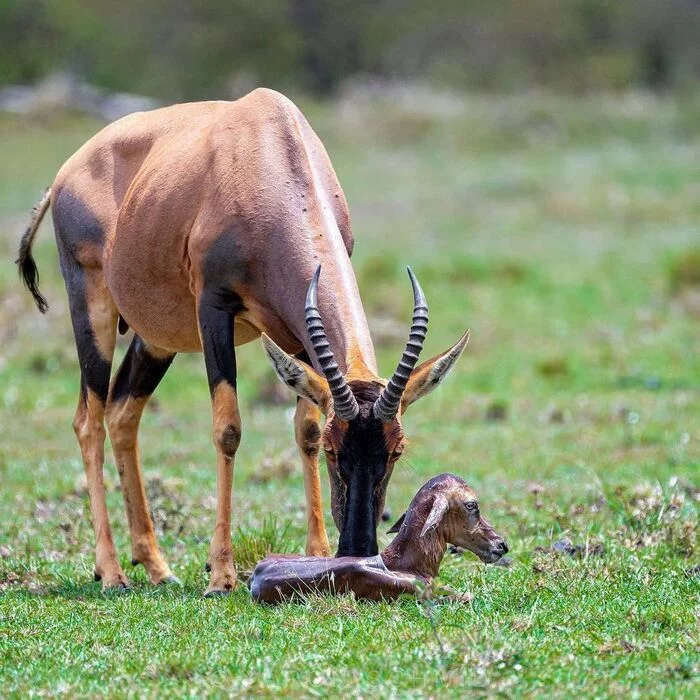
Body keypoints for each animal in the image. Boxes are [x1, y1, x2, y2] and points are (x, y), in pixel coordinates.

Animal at [16, 85, 468, 592]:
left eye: (396, 449)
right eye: (337, 451)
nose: (357, 547)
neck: (267, 148)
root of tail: (64, 175)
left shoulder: (295, 331)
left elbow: (305, 428)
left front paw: (316, 553)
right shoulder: (213, 308)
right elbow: (228, 429)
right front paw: (221, 574)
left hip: (156, 337)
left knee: (121, 413)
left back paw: (156, 566)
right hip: (92, 306)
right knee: (88, 420)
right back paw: (112, 571)